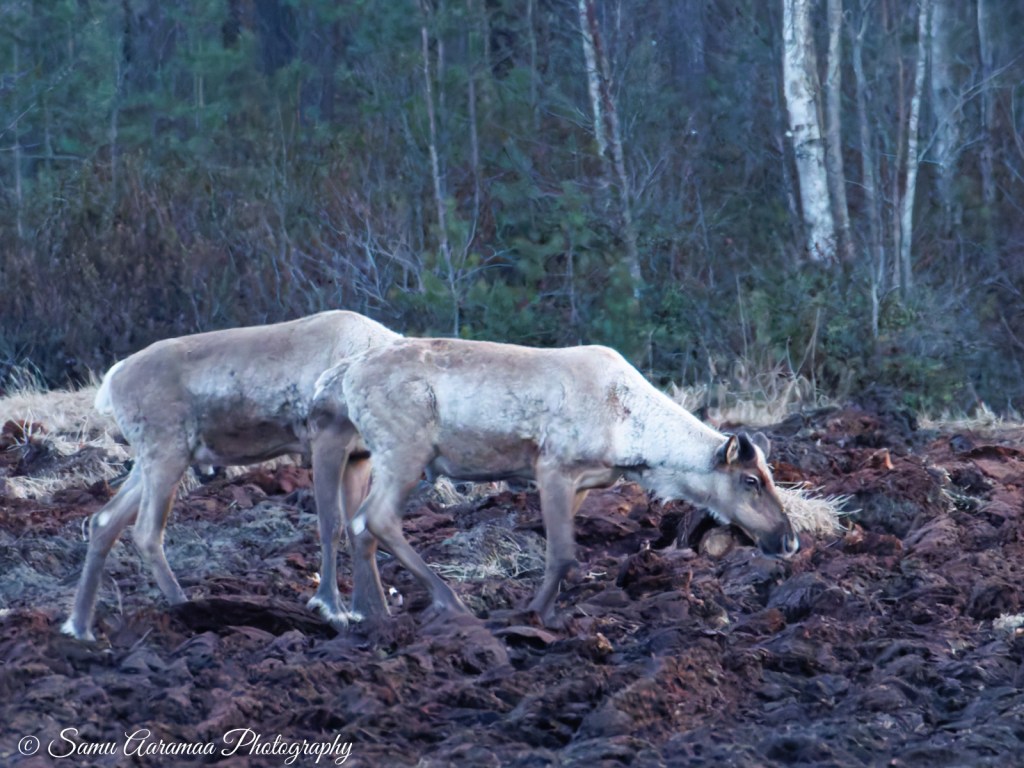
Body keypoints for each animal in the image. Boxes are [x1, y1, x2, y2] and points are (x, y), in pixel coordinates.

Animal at [60, 310, 400, 641]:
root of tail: (111, 380)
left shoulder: (359, 457)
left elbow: (361, 533)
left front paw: (375, 614)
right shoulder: (325, 442)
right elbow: (332, 525)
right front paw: (332, 609)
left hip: (152, 461)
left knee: (104, 520)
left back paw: (79, 627)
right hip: (166, 454)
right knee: (145, 531)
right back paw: (185, 606)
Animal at [307, 337, 800, 627]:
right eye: (751, 480)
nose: (789, 540)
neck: (631, 434)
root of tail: (342, 373)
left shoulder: (583, 482)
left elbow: (557, 556)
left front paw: (539, 608)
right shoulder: (553, 468)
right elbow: (563, 555)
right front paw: (534, 614)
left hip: (374, 453)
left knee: (357, 524)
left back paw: (374, 615)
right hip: (404, 451)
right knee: (374, 519)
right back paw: (449, 605)